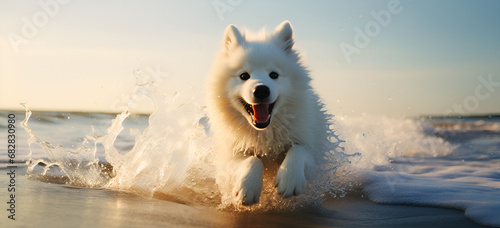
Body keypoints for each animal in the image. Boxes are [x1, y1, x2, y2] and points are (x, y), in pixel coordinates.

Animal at [205, 20, 334, 205]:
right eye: (244, 75)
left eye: (274, 75)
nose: (261, 90)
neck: (265, 133)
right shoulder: (230, 157)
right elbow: (253, 160)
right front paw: (247, 187)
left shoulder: (313, 153)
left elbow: (298, 149)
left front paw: (289, 179)